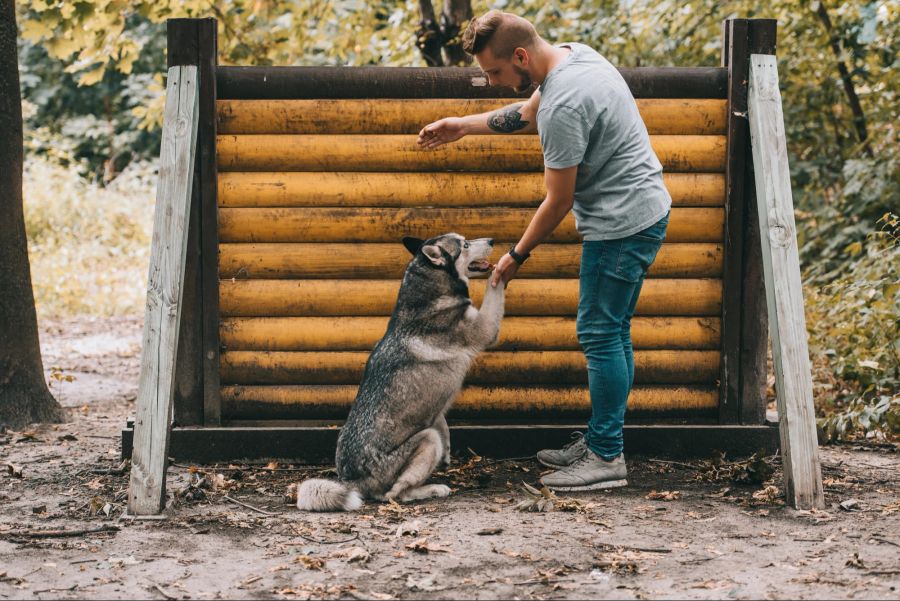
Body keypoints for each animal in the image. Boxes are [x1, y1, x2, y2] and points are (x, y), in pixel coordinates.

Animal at [298, 232, 506, 508]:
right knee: (395, 494)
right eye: (465, 245)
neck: (428, 292)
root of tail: (352, 481)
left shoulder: (434, 412)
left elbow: (441, 420)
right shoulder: (486, 328)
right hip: (427, 439)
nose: (492, 240)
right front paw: (504, 268)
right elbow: (495, 287)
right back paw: (431, 489)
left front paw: (448, 450)